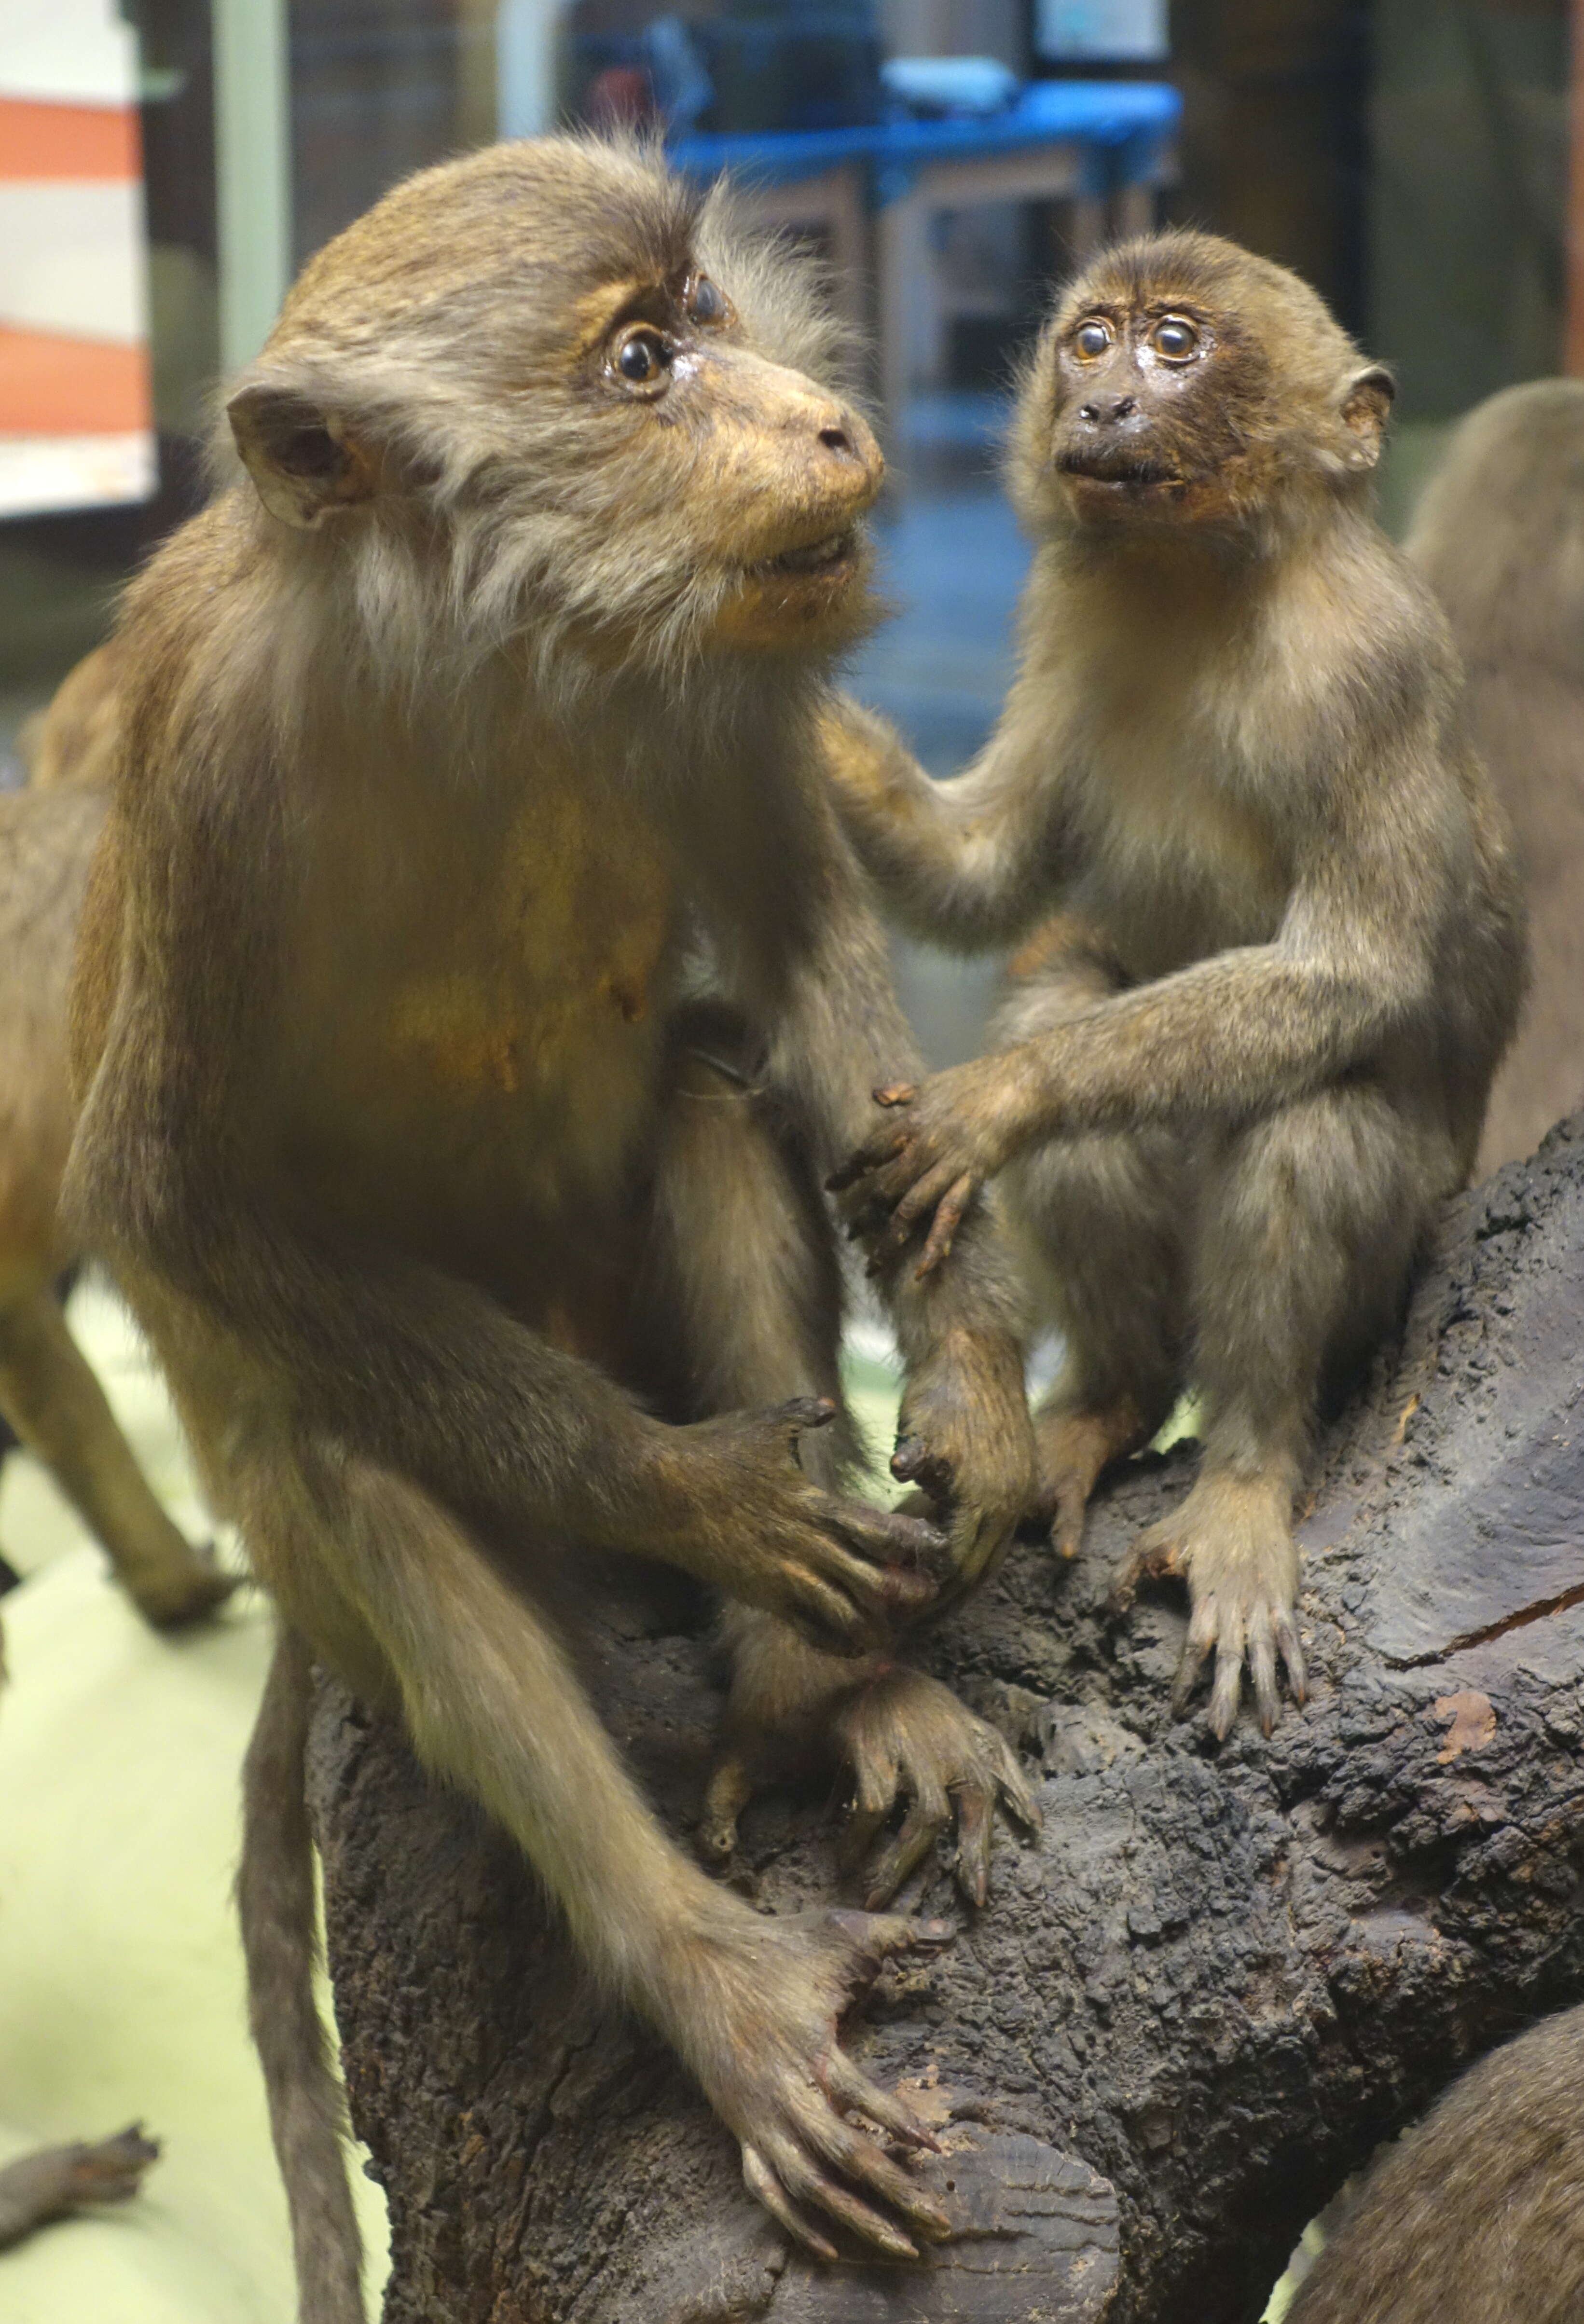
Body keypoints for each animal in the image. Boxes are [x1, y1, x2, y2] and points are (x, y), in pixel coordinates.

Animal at [68, 136, 1035, 2296]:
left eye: (708, 317)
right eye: (642, 365)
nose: (823, 420)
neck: (488, 672)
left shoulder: (708, 678)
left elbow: (793, 944)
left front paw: (969, 1378)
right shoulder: (209, 757)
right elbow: (172, 1198)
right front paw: (698, 1497)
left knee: (703, 1103)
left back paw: (808, 1686)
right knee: (355, 1471)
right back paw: (715, 1976)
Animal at [826, 231, 1514, 1747]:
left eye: (1178, 346)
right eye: (1093, 340)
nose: (1101, 404)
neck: (1202, 571)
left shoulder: (1367, 660)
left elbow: (1351, 973)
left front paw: (994, 1100)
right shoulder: (1063, 615)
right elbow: (987, 876)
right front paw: (808, 738)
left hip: (1402, 1257)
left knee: (1313, 1105)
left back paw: (1243, 1477)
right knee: (1067, 997)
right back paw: (1114, 1399)